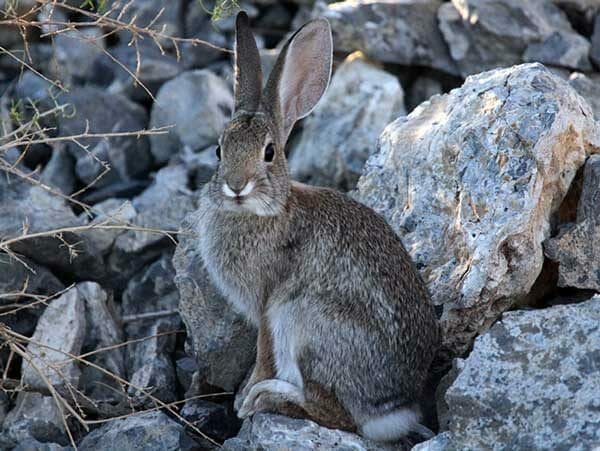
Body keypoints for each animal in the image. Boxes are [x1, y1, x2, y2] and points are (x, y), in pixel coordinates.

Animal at [199, 11, 438, 444]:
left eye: (269, 153)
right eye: (218, 149)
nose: (236, 186)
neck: (268, 212)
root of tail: (394, 411)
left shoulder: (268, 305)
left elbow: (263, 352)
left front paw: (242, 399)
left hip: (303, 320)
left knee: (335, 412)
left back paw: (267, 398)